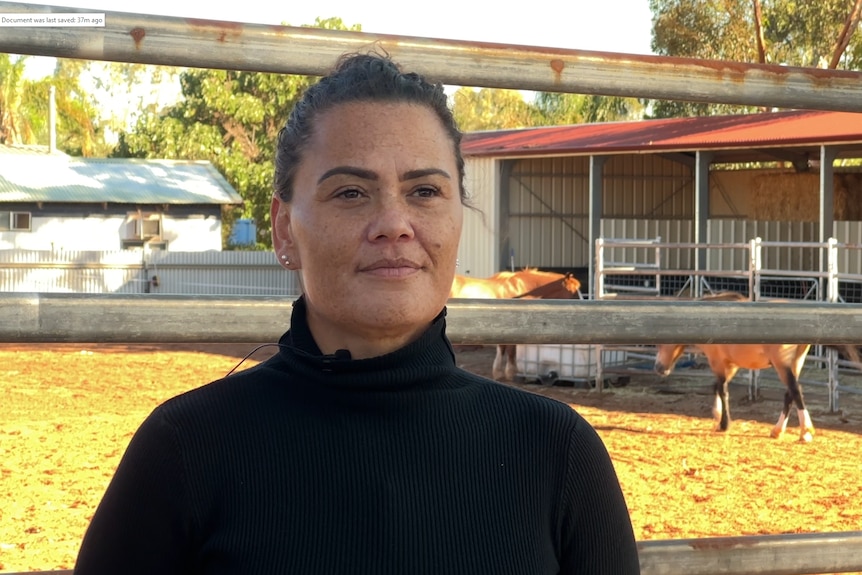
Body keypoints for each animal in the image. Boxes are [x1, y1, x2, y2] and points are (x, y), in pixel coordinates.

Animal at [660, 292, 860, 446]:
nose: (659, 368)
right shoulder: (730, 365)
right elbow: (717, 387)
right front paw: (718, 419)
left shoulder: (718, 362)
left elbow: (722, 390)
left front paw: (723, 424)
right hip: (796, 362)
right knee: (790, 393)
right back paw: (777, 430)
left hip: (782, 364)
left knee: (795, 390)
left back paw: (805, 432)